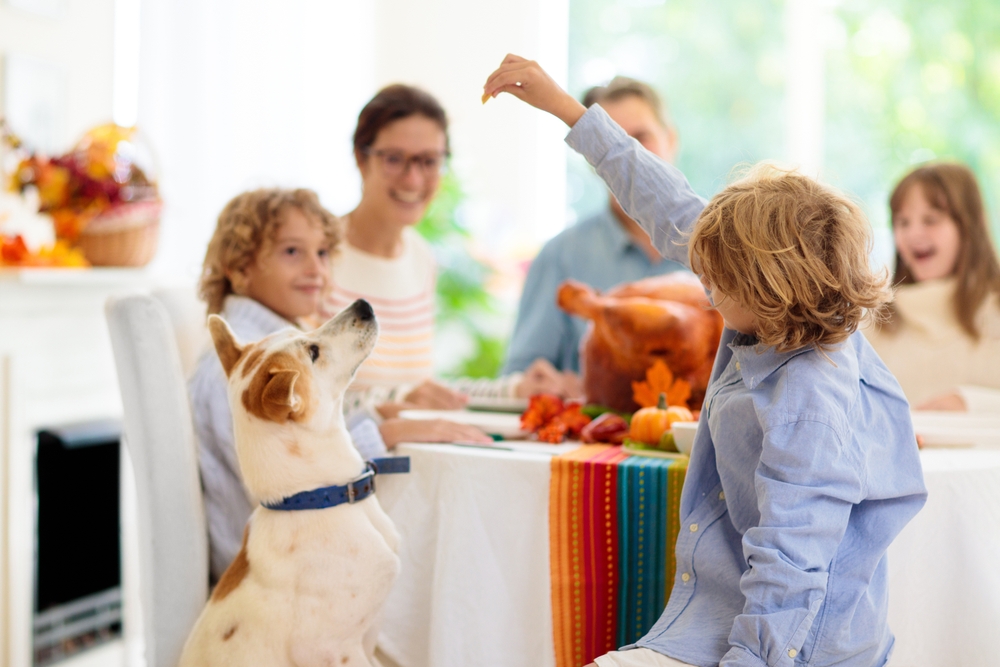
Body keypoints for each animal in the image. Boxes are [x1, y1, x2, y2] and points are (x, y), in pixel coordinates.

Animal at [182, 302, 400, 667]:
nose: (363, 305)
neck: (317, 497)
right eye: (313, 352)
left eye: (299, 333)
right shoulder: (337, 651)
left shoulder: (369, 641)